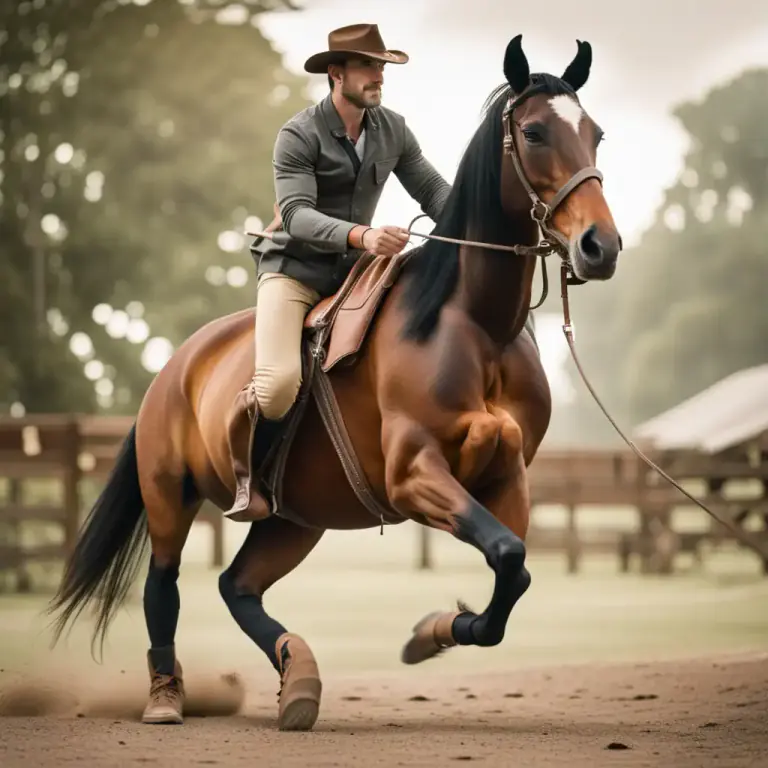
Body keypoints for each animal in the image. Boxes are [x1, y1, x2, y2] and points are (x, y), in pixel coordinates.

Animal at [47, 34, 621, 731]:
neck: (470, 323)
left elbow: (512, 574)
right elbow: (509, 559)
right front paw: (432, 632)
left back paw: (298, 677)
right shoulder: (413, 473)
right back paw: (167, 698)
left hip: (295, 521)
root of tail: (174, 368)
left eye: (595, 134)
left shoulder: (506, 475)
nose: (600, 246)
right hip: (169, 493)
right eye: (534, 132)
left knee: (236, 586)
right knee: (164, 586)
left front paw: (433, 631)